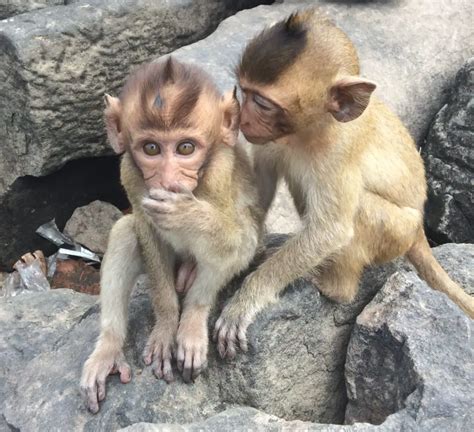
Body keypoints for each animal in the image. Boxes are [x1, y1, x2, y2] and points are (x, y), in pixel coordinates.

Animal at [81, 57, 262, 412]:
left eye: (186, 148)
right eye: (151, 148)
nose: (167, 180)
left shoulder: (219, 170)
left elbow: (237, 239)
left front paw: (188, 214)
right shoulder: (129, 173)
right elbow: (147, 234)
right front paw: (166, 326)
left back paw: (192, 318)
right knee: (125, 232)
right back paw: (109, 346)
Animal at [215, 10, 474, 360]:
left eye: (264, 103)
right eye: (244, 91)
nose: (242, 118)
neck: (310, 130)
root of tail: (419, 229)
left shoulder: (339, 154)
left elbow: (332, 230)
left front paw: (247, 298)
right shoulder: (271, 139)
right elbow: (260, 189)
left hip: (396, 233)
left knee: (358, 211)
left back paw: (333, 286)